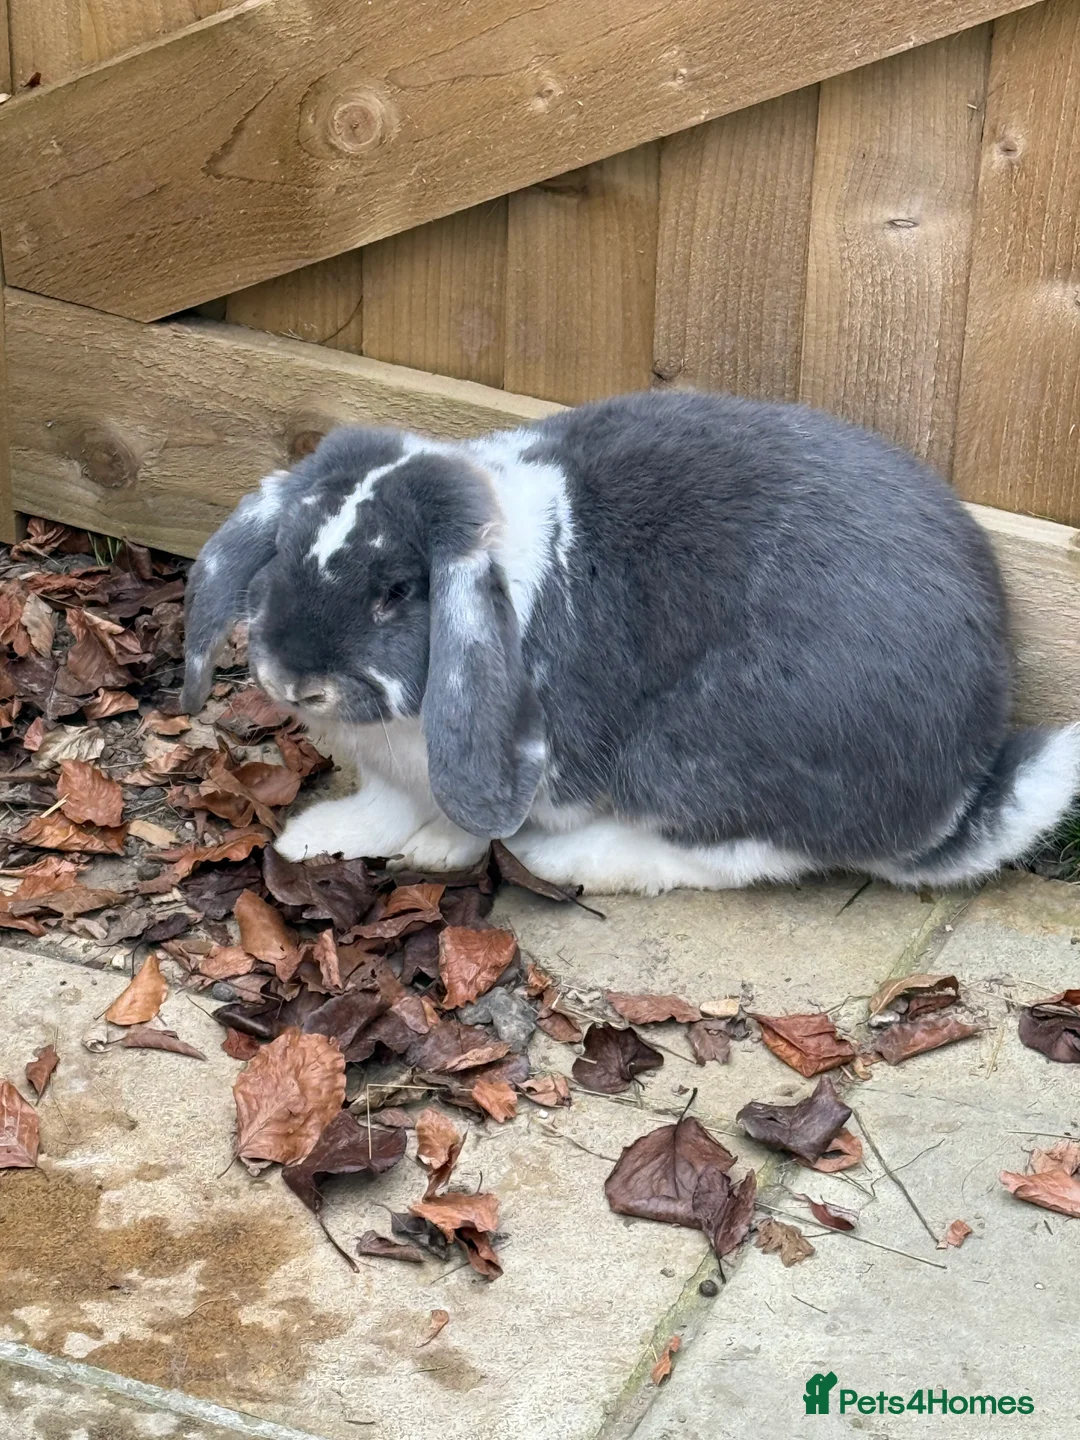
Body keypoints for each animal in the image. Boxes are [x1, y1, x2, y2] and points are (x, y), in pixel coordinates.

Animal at [181, 389, 1080, 895]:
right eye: (283, 550)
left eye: (398, 591)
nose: (293, 679)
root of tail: (951, 798)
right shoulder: (395, 773)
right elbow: (383, 804)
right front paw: (315, 837)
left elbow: (470, 819)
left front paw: (439, 851)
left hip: (694, 752)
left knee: (737, 854)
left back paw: (569, 860)